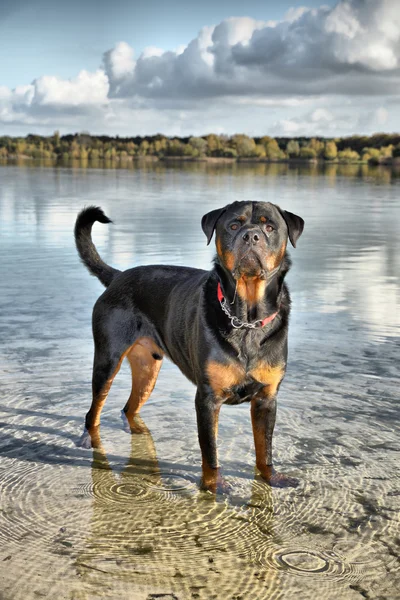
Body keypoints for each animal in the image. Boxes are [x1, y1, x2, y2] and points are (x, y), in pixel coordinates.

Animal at [75, 202, 304, 492]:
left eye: (270, 227)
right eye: (233, 225)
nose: (251, 236)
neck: (247, 321)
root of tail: (118, 276)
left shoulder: (267, 398)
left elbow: (265, 448)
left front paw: (271, 477)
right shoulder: (207, 399)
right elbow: (210, 450)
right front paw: (214, 485)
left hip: (148, 367)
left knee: (129, 406)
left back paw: (137, 430)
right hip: (108, 359)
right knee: (94, 408)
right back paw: (88, 440)